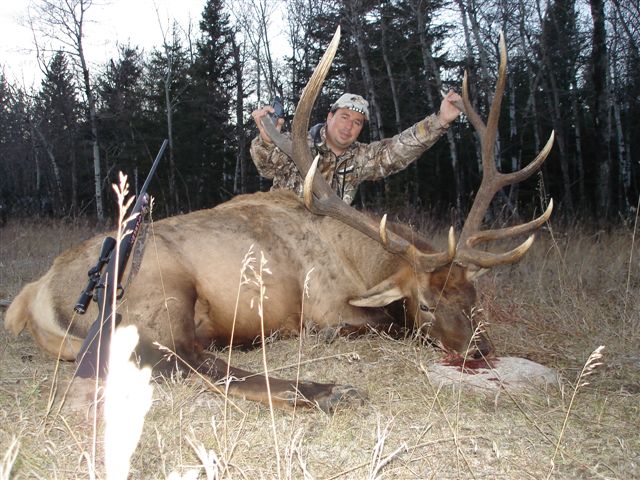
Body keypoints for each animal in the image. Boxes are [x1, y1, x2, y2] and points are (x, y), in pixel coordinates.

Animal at [4, 28, 553, 413]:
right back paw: (328, 390)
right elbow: (387, 325)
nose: (482, 351)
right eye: (427, 303)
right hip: (157, 288)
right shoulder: (327, 307)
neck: (358, 260)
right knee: (187, 363)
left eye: (474, 296)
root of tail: (34, 293)